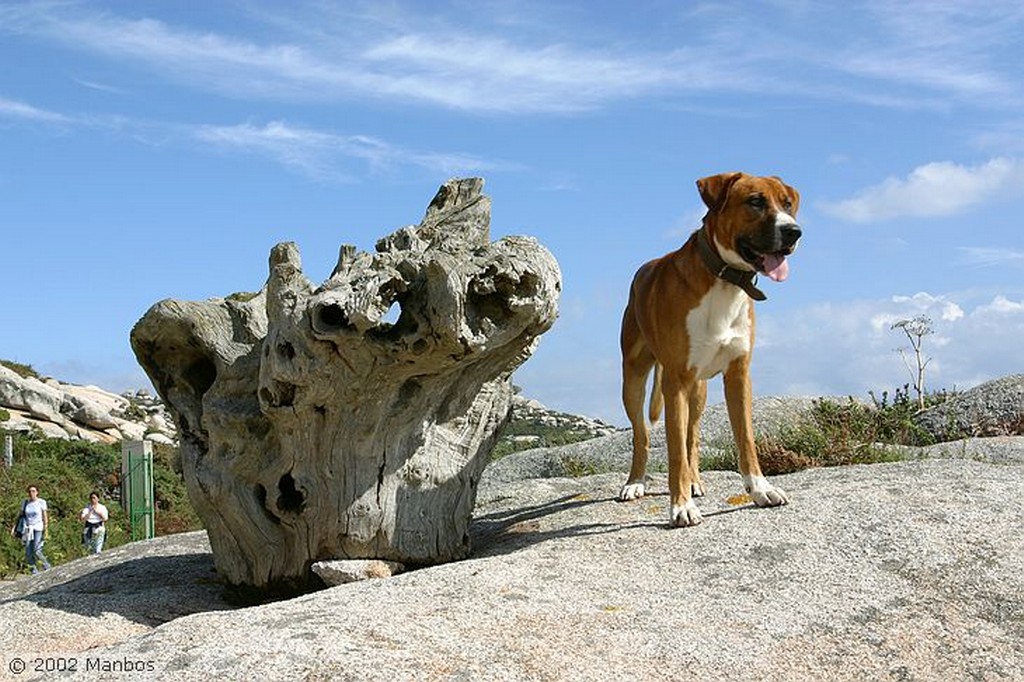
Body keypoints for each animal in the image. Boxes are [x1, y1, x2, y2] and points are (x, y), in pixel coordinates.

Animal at [618, 171, 802, 524]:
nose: (794, 232)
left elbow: (744, 438)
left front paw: (760, 489)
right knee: (642, 435)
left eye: (787, 204)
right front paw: (681, 505)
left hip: (698, 391)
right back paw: (636, 483)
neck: (724, 282)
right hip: (633, 378)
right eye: (755, 201)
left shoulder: (739, 375)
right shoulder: (675, 381)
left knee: (692, 437)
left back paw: (694, 481)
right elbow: (674, 450)